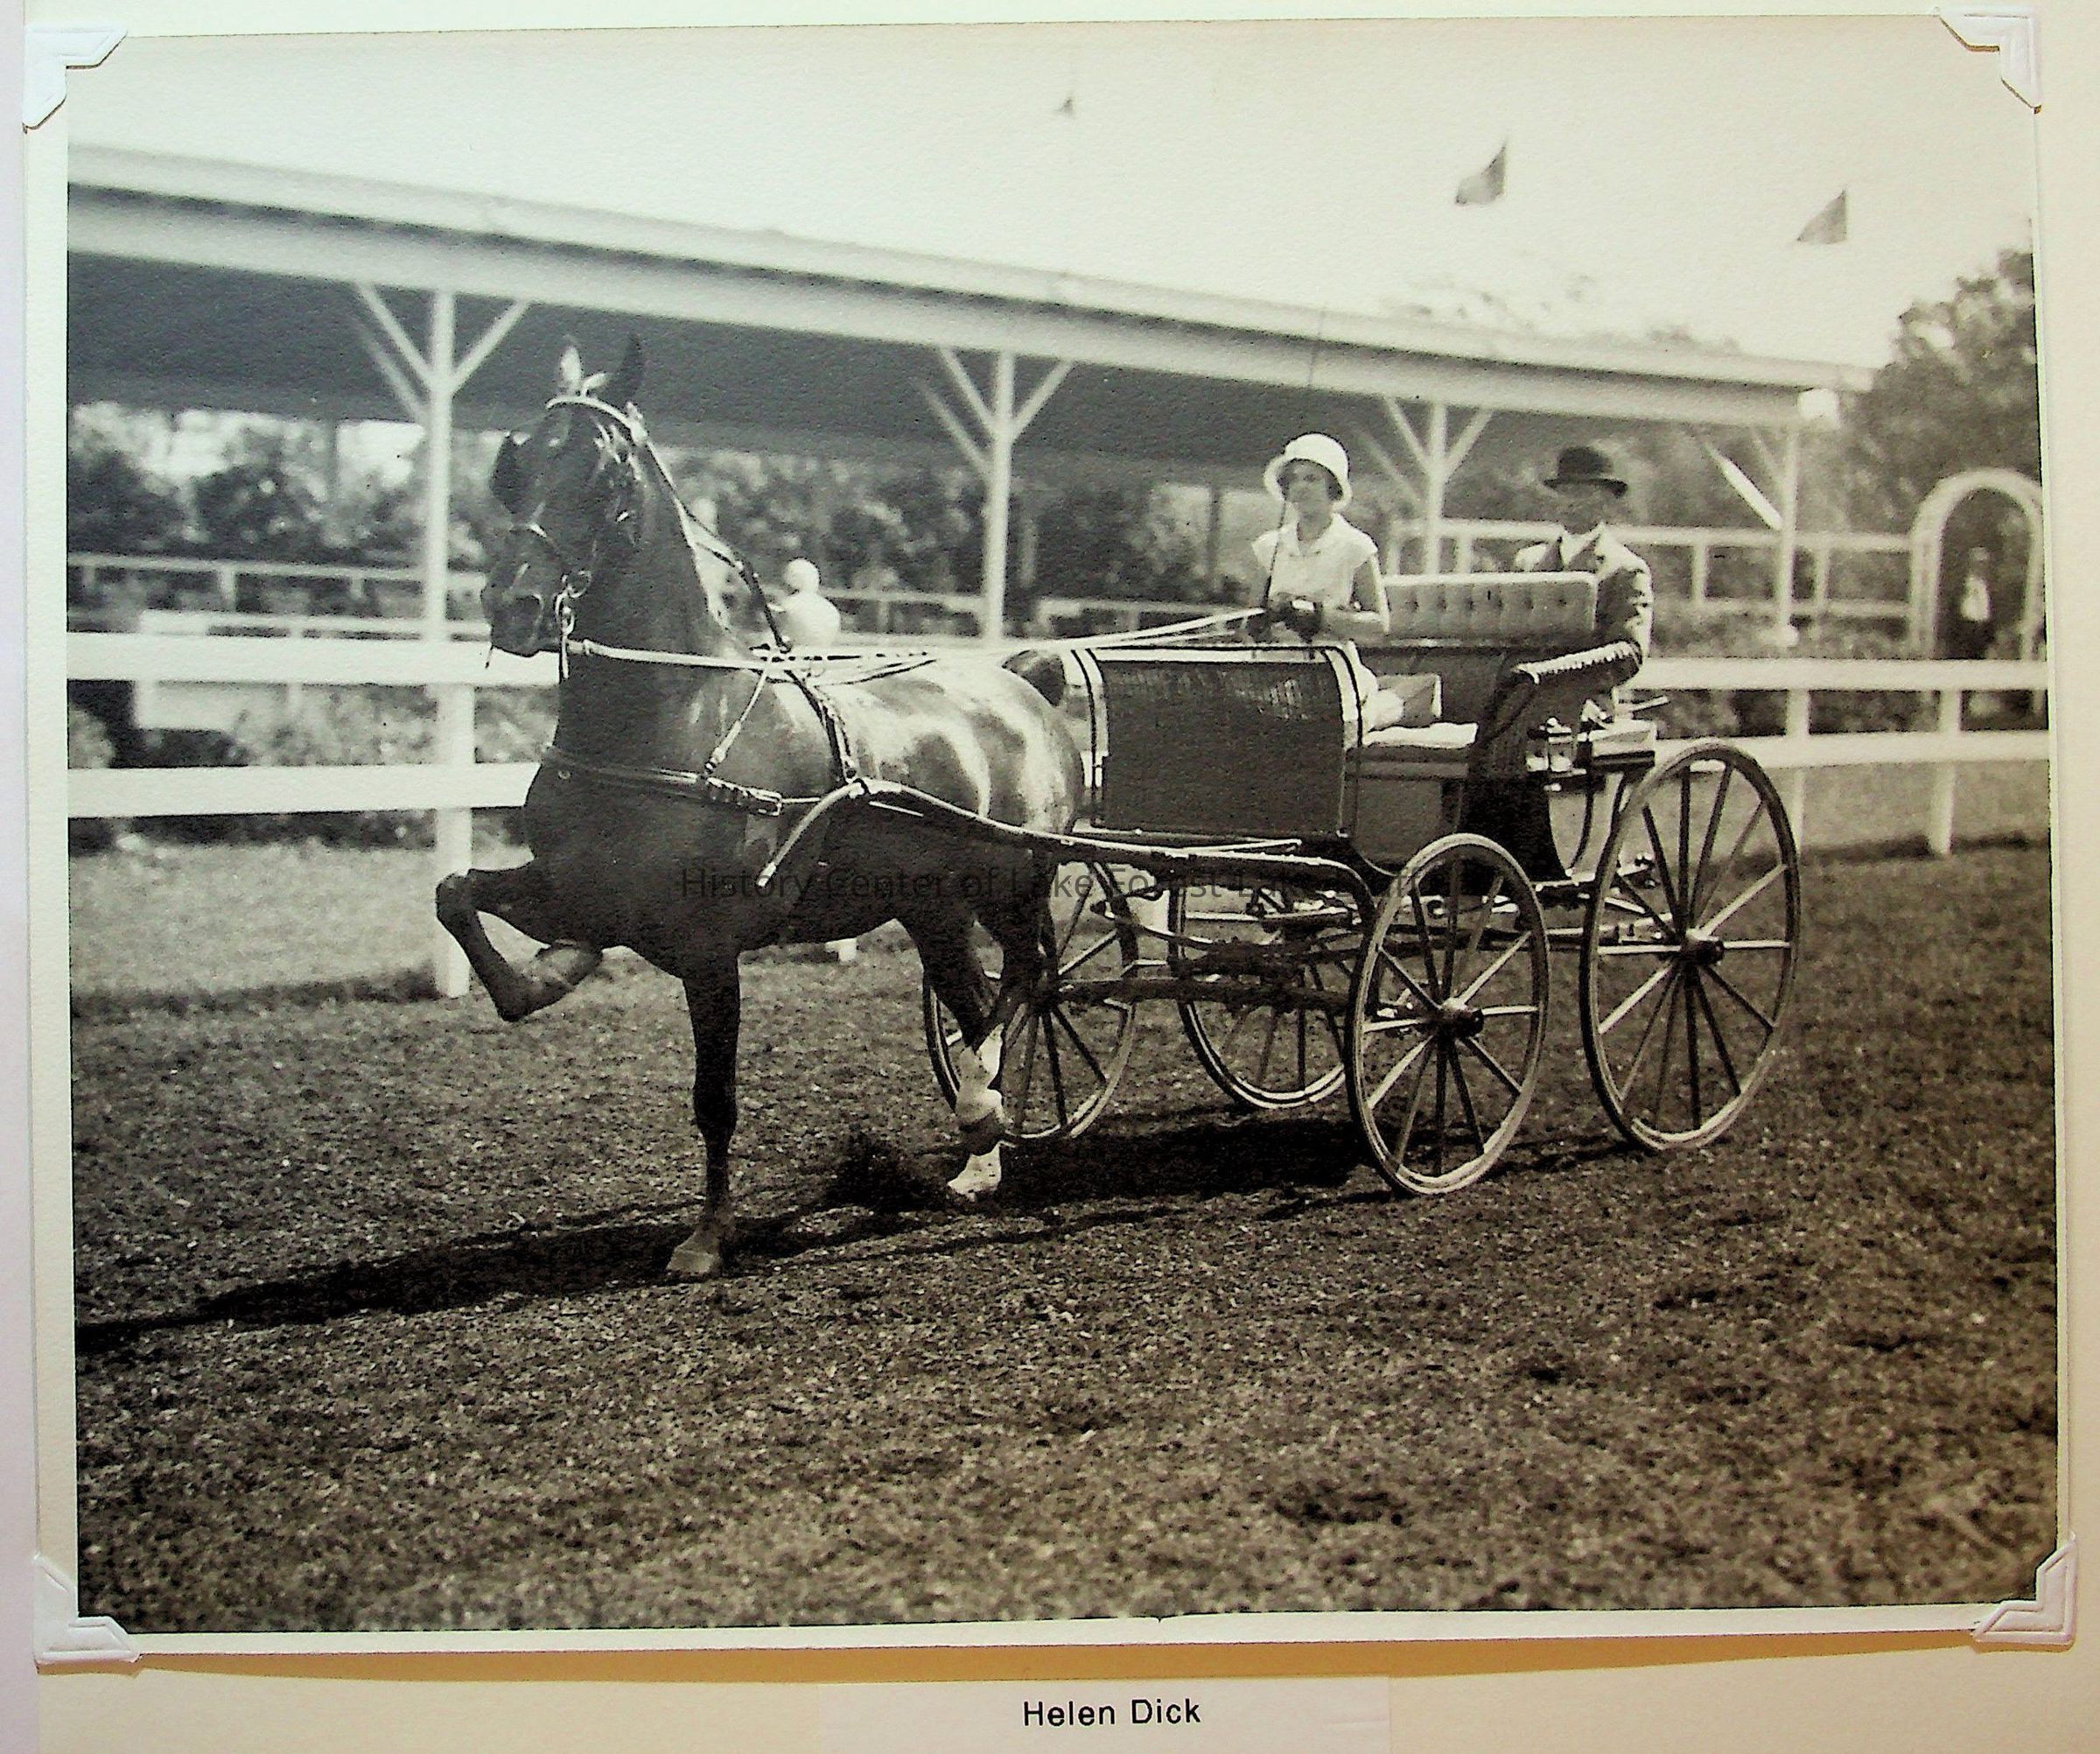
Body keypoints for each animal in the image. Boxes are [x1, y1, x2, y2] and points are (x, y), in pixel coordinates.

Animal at [435, 339, 1084, 1278]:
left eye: (602, 473)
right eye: (515, 467)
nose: (512, 606)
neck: (673, 718)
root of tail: (1023, 682)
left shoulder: (710, 949)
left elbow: (716, 1096)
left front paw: (707, 1237)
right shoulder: (576, 888)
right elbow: (456, 893)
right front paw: (546, 975)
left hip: (1012, 882)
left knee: (1031, 978)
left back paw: (979, 1112)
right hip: (929, 908)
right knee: (974, 1000)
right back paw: (979, 1158)